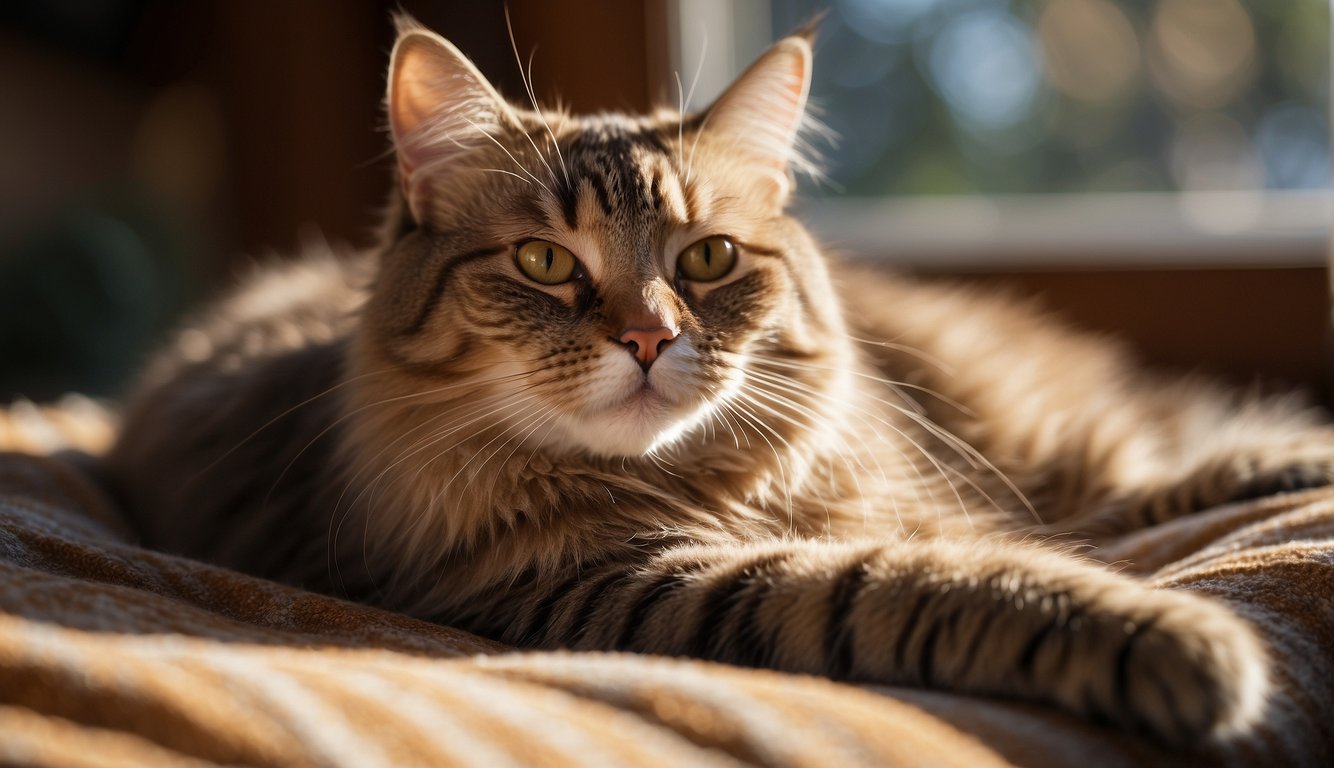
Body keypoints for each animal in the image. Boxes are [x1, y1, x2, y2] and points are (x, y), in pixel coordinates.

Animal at [101, 18, 1334, 746]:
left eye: (705, 261)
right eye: (543, 263)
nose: (648, 338)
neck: (713, 481)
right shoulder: (637, 583)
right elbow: (927, 581)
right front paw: (1179, 644)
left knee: (1131, 467)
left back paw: (1279, 460)